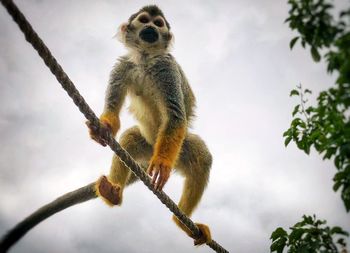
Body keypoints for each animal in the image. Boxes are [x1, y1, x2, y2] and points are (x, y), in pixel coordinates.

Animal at [87, 4, 213, 246]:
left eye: (158, 24)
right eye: (144, 20)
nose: (150, 28)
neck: (145, 58)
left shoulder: (167, 68)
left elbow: (175, 117)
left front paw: (162, 164)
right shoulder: (122, 66)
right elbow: (113, 113)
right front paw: (103, 127)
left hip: (176, 148)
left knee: (202, 159)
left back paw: (181, 221)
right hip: (147, 146)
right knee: (128, 139)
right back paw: (112, 193)